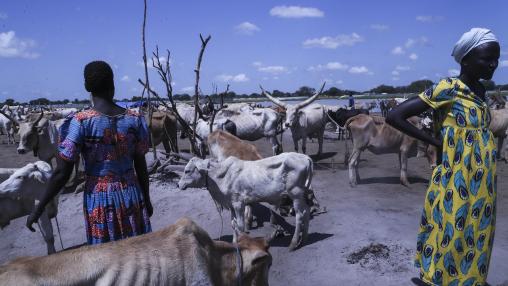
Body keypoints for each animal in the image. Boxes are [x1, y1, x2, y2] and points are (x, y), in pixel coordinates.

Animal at [179, 152, 314, 250]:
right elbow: (233, 224)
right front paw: (234, 243)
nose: (178, 184)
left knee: (300, 215)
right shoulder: (231, 204)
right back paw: (304, 239)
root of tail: (306, 157)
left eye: (187, 171)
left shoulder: (239, 203)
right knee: (307, 212)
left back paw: (293, 243)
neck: (220, 176)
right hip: (301, 195)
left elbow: (240, 225)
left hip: (295, 194)